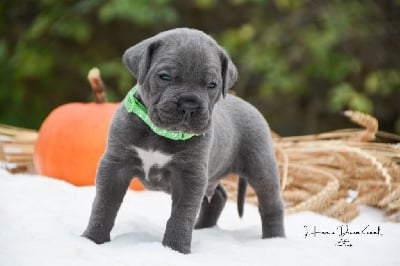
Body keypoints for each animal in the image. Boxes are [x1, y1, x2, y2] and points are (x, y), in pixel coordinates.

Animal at [83, 27, 286, 254]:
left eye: (212, 85)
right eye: (164, 76)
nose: (189, 105)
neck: (159, 132)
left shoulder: (190, 176)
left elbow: (181, 215)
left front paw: (175, 249)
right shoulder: (114, 166)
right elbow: (104, 205)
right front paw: (93, 239)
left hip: (261, 167)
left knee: (271, 204)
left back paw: (274, 240)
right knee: (218, 197)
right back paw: (203, 228)